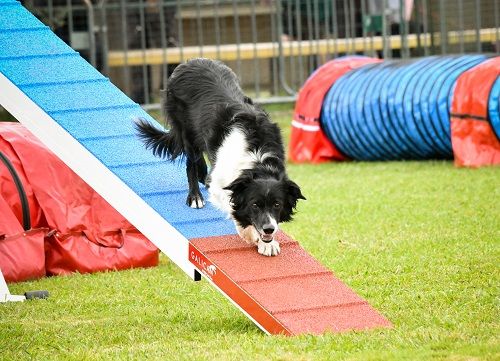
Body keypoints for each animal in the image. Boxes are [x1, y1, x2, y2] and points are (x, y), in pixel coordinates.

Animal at [134, 57, 304, 256]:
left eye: (277, 204)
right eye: (255, 205)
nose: (269, 229)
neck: (257, 159)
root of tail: (189, 62)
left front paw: (267, 242)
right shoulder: (221, 182)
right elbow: (233, 207)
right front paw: (253, 236)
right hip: (187, 131)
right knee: (191, 164)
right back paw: (195, 197)